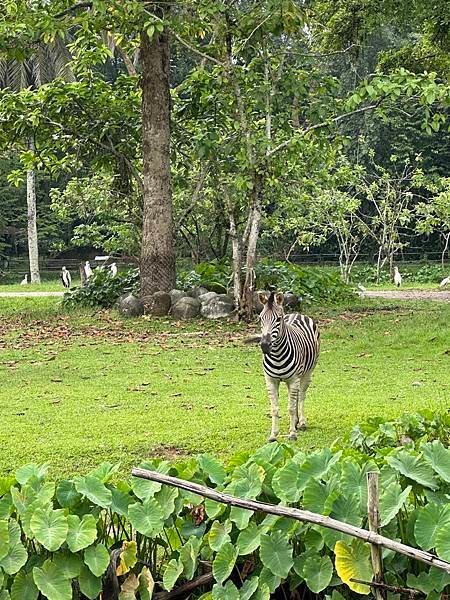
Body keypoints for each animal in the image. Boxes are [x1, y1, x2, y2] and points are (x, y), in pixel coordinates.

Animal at [256, 290, 320, 440]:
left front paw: (292, 433)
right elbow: (274, 409)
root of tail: (297, 313)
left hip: (307, 372)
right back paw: (296, 422)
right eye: (261, 318)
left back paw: (301, 422)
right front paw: (273, 434)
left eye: (278, 319)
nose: (265, 346)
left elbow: (291, 407)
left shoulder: (294, 378)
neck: (277, 355)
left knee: (301, 395)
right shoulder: (271, 380)